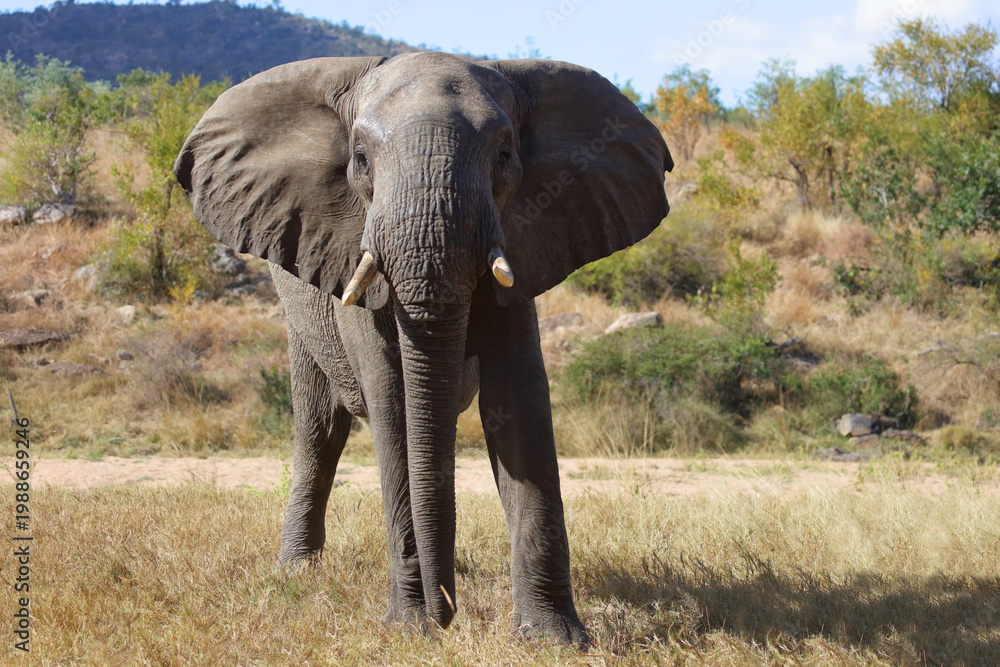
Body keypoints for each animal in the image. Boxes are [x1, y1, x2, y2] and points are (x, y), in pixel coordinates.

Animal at [174, 51, 672, 646]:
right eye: (360, 158)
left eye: (505, 155)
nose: (447, 614)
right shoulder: (349, 256)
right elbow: (392, 405)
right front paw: (411, 627)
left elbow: (520, 404)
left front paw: (555, 639)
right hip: (296, 307)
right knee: (321, 429)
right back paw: (297, 572)